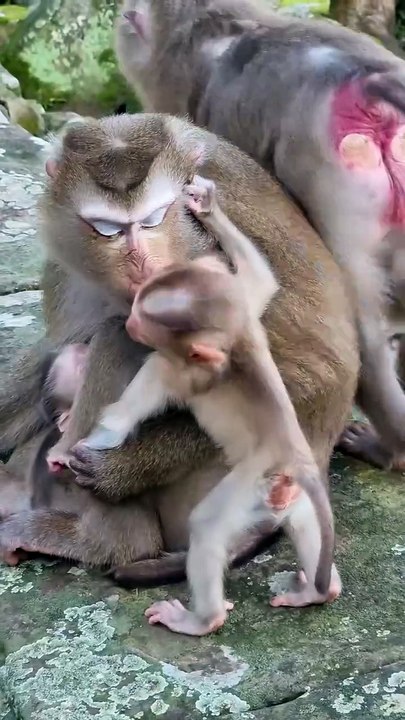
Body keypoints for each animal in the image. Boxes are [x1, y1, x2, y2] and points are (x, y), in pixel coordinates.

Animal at [0, 113, 358, 588]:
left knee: (121, 338)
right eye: (107, 229)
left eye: (153, 219)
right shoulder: (67, 261)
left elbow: (311, 375)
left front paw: (120, 470)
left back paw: (104, 540)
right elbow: (53, 353)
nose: (139, 262)